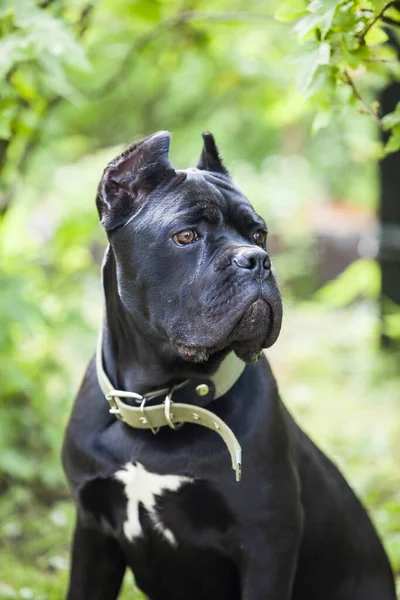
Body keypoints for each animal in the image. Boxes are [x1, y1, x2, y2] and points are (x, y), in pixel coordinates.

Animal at [62, 132, 396, 600]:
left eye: (259, 233)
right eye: (186, 235)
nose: (255, 259)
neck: (159, 403)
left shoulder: (266, 542)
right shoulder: (93, 532)